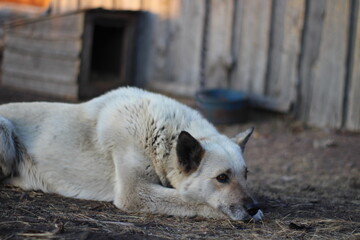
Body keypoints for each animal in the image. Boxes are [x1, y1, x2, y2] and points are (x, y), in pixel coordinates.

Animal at [0, 86, 264, 221]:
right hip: (5, 132)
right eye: (222, 178)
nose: (253, 207)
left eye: (246, 175)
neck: (161, 136)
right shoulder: (135, 192)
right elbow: (191, 199)